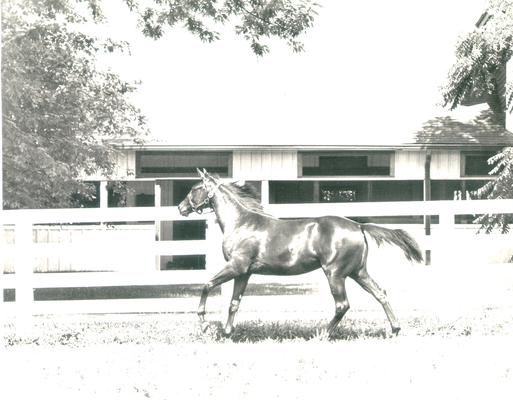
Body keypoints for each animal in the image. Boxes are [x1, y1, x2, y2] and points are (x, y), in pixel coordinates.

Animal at [178, 168, 422, 338]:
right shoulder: (244, 272)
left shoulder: (236, 266)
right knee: (380, 293)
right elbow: (234, 303)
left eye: (195, 188)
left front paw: (205, 324)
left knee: (342, 305)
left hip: (335, 274)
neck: (241, 223)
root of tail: (359, 226)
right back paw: (395, 329)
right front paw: (228, 333)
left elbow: (207, 285)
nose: (181, 208)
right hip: (358, 272)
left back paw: (323, 334)